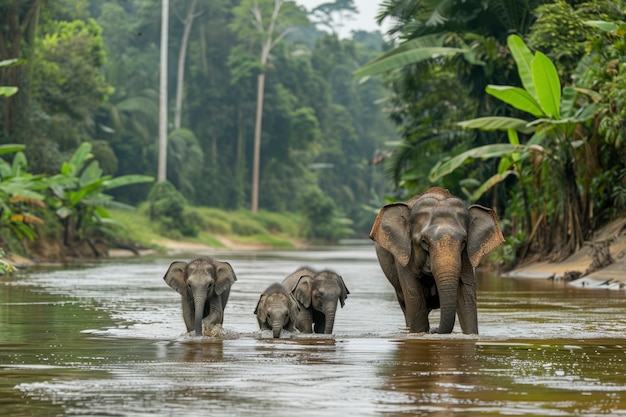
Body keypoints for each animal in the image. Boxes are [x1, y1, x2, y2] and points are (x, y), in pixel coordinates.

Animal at [368, 187, 504, 334]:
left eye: (463, 242)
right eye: (424, 242)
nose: (434, 330)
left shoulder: (466, 256)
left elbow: (466, 293)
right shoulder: (404, 255)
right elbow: (414, 297)